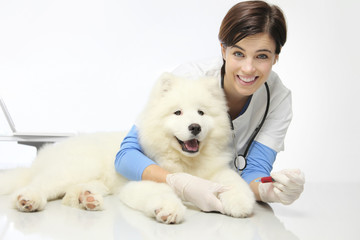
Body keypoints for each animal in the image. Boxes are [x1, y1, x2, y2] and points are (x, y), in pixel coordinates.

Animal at [0, 74, 255, 224]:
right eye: (178, 112)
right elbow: (162, 190)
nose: (195, 127)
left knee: (68, 196)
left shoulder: (216, 172)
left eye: (201, 112)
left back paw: (87, 199)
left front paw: (239, 203)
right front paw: (168, 210)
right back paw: (28, 200)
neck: (186, 163)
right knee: (37, 186)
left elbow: (234, 182)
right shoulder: (143, 181)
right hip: (78, 167)